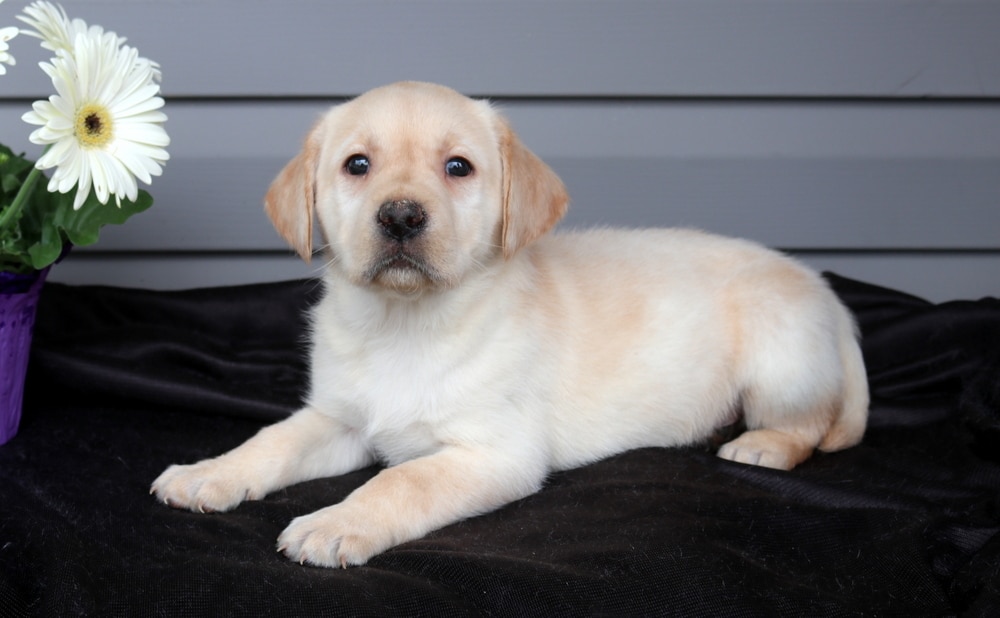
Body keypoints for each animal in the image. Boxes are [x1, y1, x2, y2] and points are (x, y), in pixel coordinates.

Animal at [151, 81, 869, 568]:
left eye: (458, 167)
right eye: (357, 165)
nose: (401, 216)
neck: (405, 325)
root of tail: (827, 293)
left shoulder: (495, 452)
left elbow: (400, 478)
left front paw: (334, 523)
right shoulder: (339, 419)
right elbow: (271, 440)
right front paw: (207, 472)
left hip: (782, 362)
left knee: (809, 425)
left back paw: (762, 446)